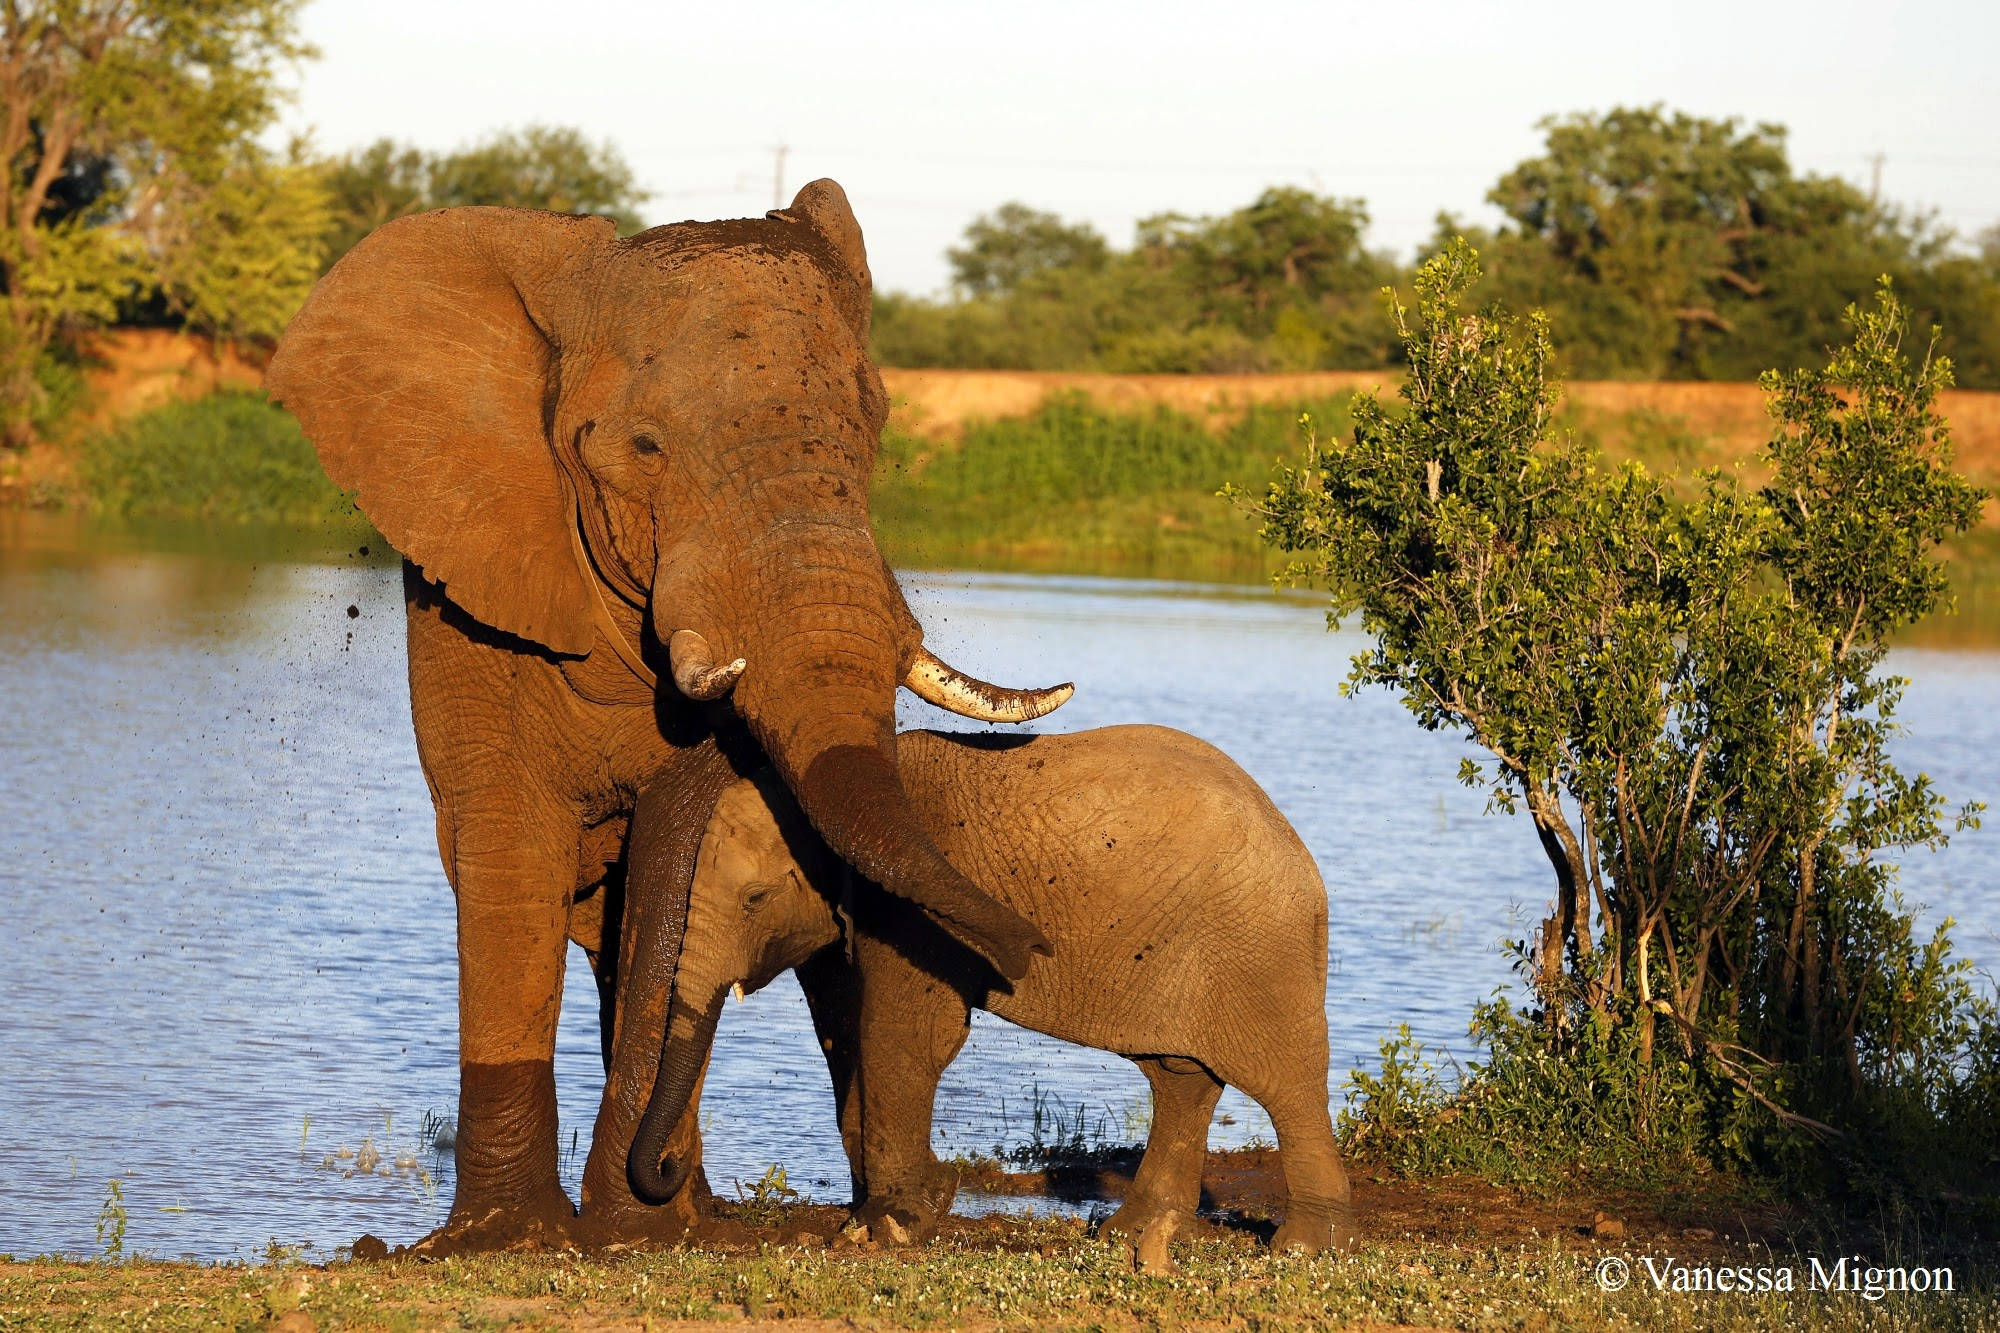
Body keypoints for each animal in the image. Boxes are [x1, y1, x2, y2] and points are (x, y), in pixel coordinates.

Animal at [264, 181, 1072, 1254]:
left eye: (873, 429)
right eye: (644, 447)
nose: (1031, 949)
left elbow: (674, 855)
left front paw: (633, 1229)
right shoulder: (470, 593)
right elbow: (510, 841)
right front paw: (510, 1238)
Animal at [620, 724, 1360, 1258]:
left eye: (753, 898)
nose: (671, 1165)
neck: (829, 797)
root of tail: (1305, 862)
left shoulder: (917, 916)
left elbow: (905, 1036)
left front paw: (892, 1225)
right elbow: (846, 1030)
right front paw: (889, 1213)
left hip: (1257, 949)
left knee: (1285, 1082)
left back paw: (1304, 1247)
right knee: (1179, 1076)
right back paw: (1129, 1231)